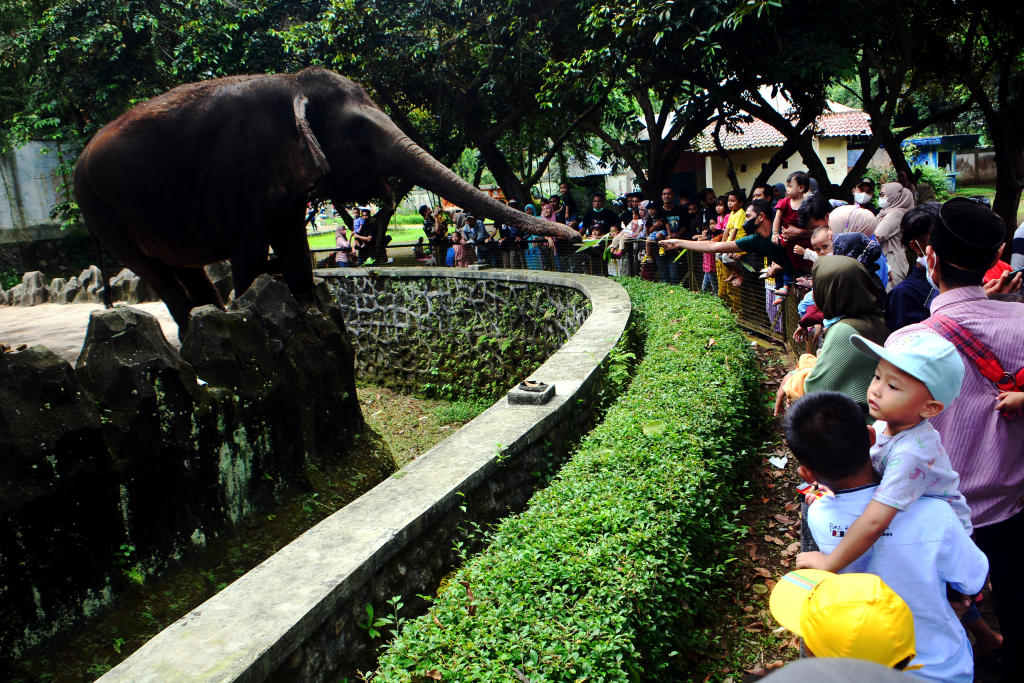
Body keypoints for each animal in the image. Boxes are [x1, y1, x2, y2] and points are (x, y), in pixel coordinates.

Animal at [74, 66, 577, 333]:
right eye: (355, 131)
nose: (573, 235)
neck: (288, 81)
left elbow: (294, 246)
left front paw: (311, 313)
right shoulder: (238, 171)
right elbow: (249, 252)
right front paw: (266, 315)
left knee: (184, 269)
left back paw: (208, 320)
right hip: (99, 209)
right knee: (155, 271)